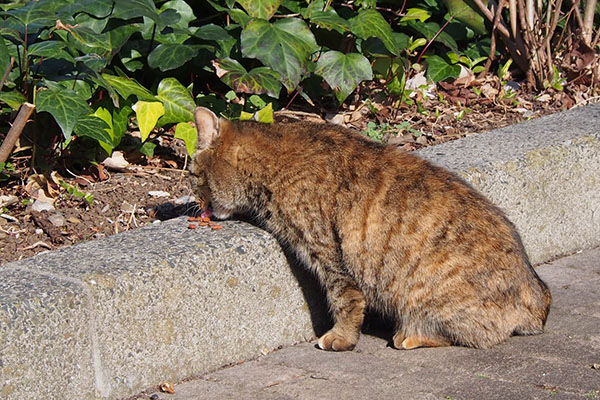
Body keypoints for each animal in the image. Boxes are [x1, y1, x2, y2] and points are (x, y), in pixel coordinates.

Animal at [190, 108, 552, 352]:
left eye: (193, 175)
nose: (195, 202)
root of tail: (539, 295)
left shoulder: (330, 255)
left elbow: (345, 299)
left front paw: (342, 337)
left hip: (423, 296)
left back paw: (411, 335)